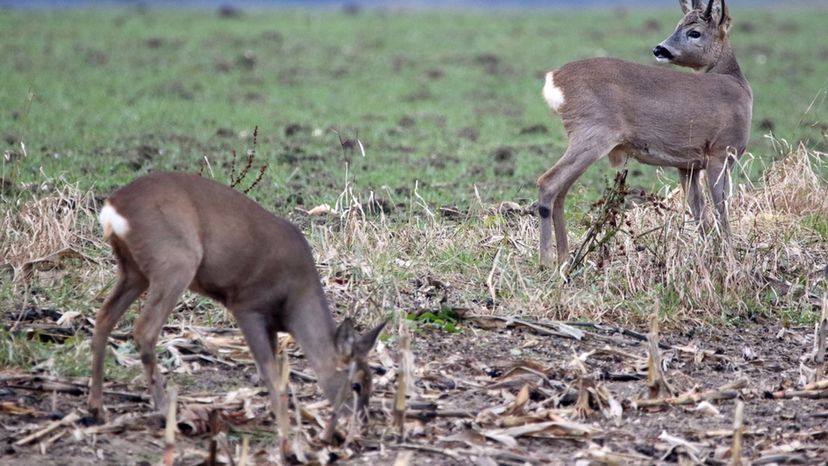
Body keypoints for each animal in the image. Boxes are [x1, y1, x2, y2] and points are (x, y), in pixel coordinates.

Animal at [89, 172, 386, 426]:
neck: (293, 301)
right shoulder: (247, 305)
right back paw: (163, 410)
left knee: (104, 317)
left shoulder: (270, 324)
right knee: (144, 330)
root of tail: (113, 209)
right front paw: (285, 431)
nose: (361, 420)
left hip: (133, 270)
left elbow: (277, 372)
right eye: (357, 384)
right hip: (175, 262)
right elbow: (269, 371)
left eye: (372, 379)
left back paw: (97, 409)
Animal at [536, 0, 752, 268]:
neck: (735, 84)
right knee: (548, 182)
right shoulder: (721, 153)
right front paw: (730, 259)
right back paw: (546, 261)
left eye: (694, 32)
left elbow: (699, 212)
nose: (660, 49)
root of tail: (555, 79)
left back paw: (565, 260)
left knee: (561, 190)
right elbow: (721, 209)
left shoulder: (688, 164)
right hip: (593, 133)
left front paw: (711, 258)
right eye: (680, 26)